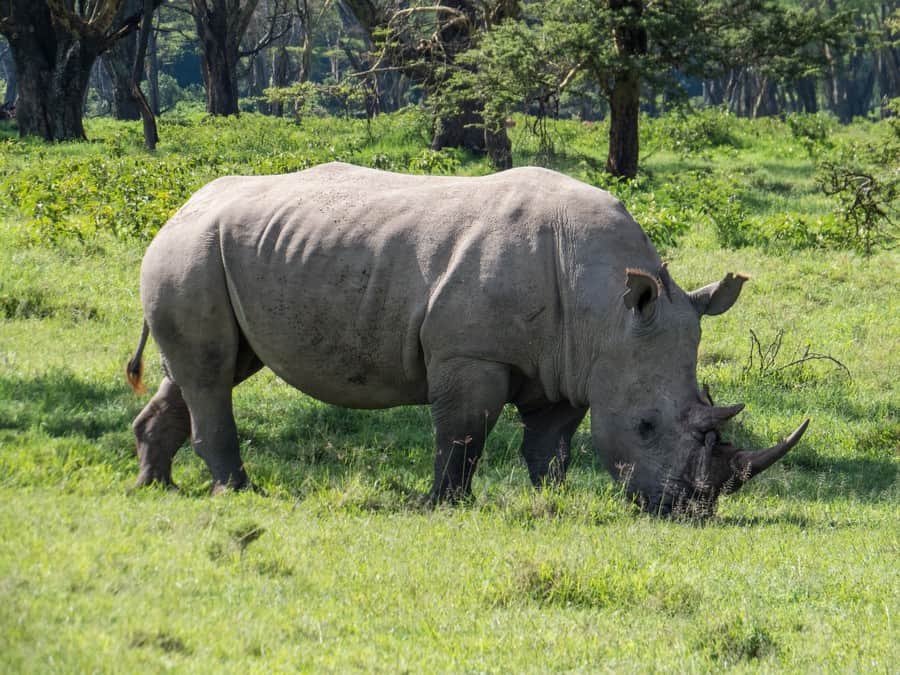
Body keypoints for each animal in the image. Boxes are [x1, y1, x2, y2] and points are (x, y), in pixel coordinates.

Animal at [126, 161, 808, 516]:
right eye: (645, 427)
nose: (689, 510)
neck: (605, 309)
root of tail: (178, 207)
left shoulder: (570, 364)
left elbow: (551, 445)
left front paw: (551, 501)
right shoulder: (470, 354)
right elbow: (463, 433)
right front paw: (444, 505)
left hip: (218, 252)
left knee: (206, 369)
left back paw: (155, 487)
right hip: (191, 250)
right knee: (212, 373)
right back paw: (237, 494)